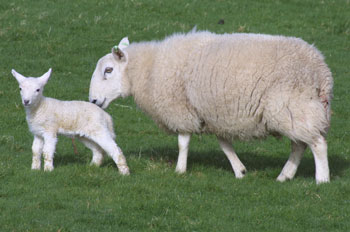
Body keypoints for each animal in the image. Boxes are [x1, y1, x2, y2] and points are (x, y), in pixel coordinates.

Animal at [89, 30, 332, 184]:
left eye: (108, 70)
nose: (93, 101)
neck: (148, 70)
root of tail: (321, 70)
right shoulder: (212, 114)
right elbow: (224, 144)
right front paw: (240, 170)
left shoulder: (181, 109)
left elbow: (183, 142)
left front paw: (179, 170)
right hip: (297, 111)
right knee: (300, 145)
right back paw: (285, 176)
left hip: (292, 105)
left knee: (317, 143)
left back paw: (322, 179)